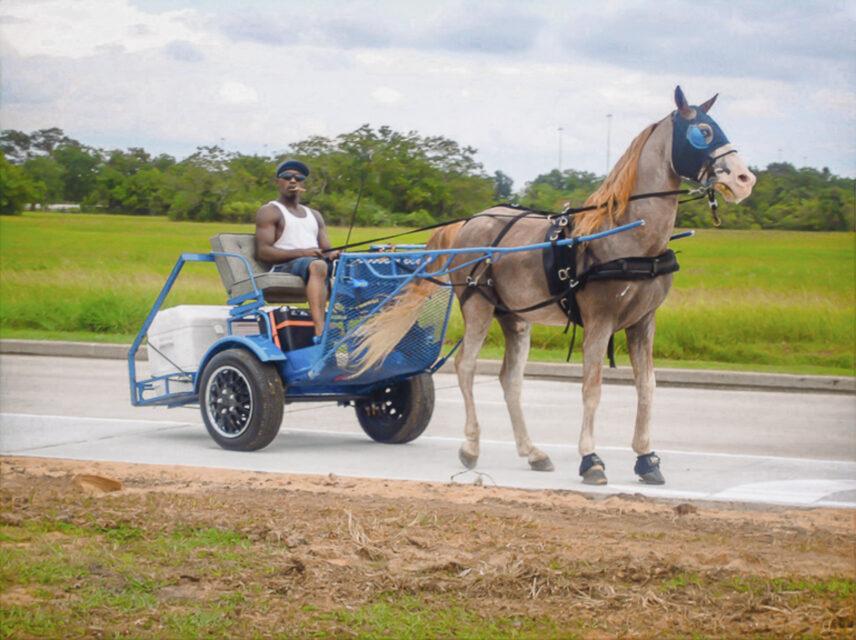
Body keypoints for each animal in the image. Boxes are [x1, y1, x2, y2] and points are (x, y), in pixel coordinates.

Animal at [352, 86, 752, 484]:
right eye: (703, 131)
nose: (745, 179)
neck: (627, 235)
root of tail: (471, 221)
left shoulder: (643, 322)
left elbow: (647, 387)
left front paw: (646, 458)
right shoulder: (599, 322)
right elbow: (592, 388)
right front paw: (591, 459)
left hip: (514, 316)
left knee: (510, 380)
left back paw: (532, 452)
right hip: (477, 306)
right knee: (466, 366)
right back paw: (471, 446)